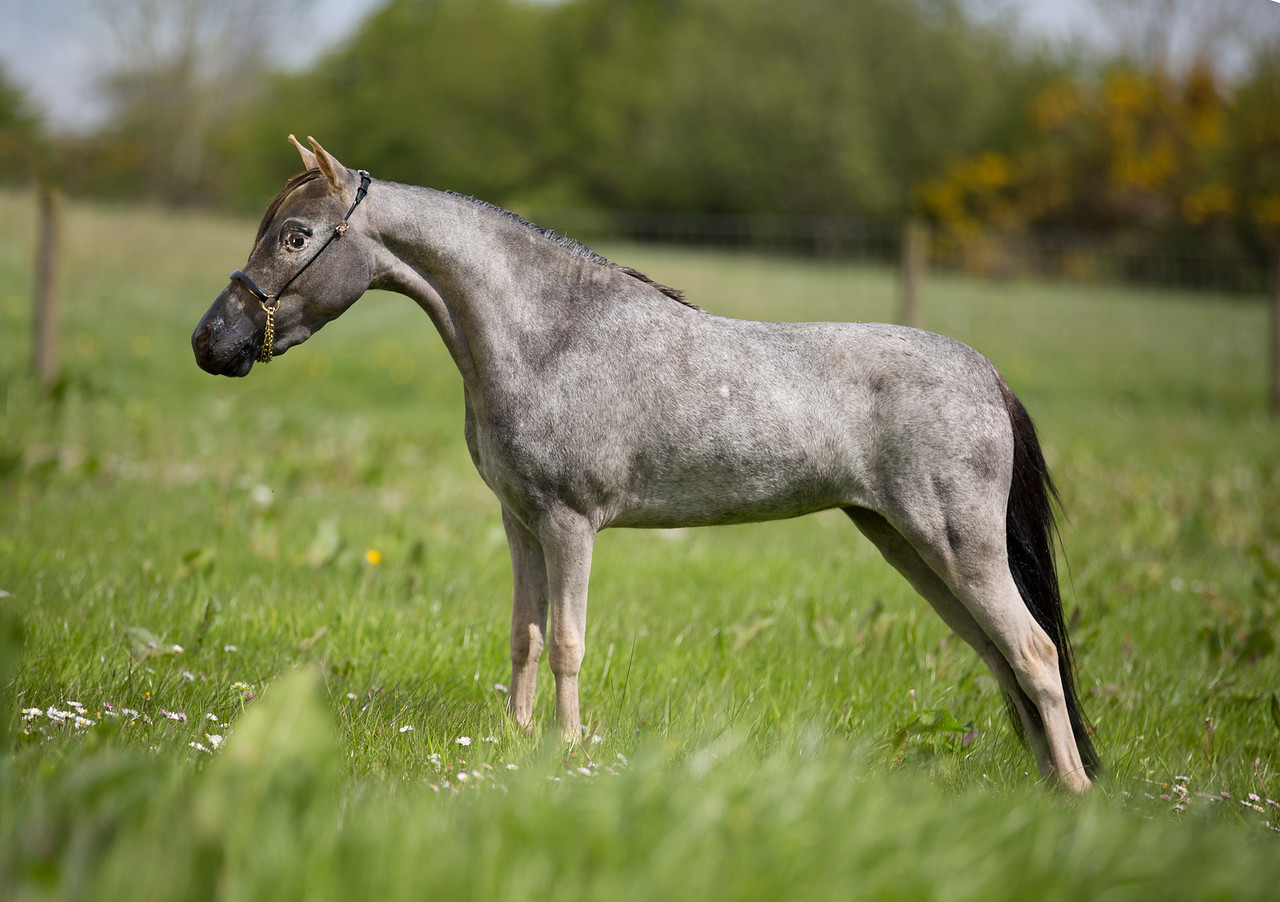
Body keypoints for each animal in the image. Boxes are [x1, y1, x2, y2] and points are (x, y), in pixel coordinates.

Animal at [192, 136, 1100, 792]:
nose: (211, 341)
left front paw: (566, 751)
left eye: (297, 237)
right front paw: (517, 742)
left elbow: (567, 641)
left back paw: (1077, 798)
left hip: (957, 547)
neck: (549, 335)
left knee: (1033, 653)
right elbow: (524, 635)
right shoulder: (520, 522)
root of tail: (986, 373)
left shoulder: (570, 523)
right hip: (910, 547)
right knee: (1001, 656)